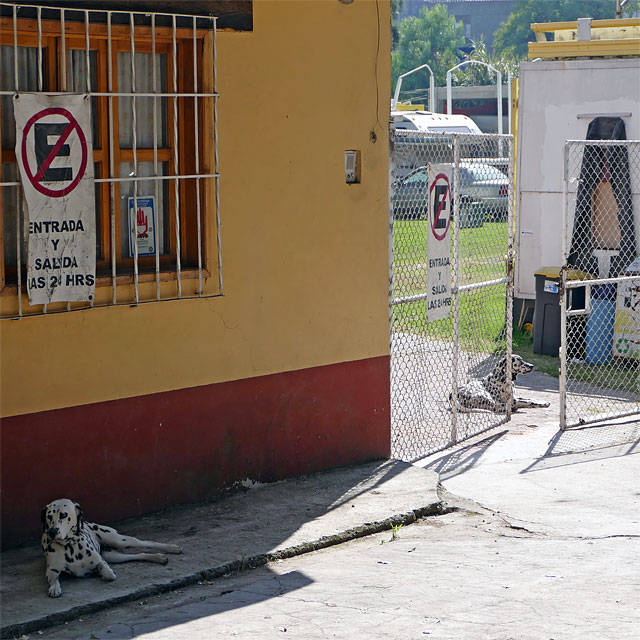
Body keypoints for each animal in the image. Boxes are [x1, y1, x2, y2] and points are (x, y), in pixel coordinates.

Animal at [41, 498, 182, 596]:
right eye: (49, 516)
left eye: (64, 515)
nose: (52, 532)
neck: (70, 546)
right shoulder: (51, 570)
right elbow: (53, 579)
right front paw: (54, 588)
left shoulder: (100, 561)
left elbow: (109, 573)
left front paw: (102, 573)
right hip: (115, 556)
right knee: (138, 555)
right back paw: (159, 557)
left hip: (120, 541)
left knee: (145, 543)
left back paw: (172, 548)